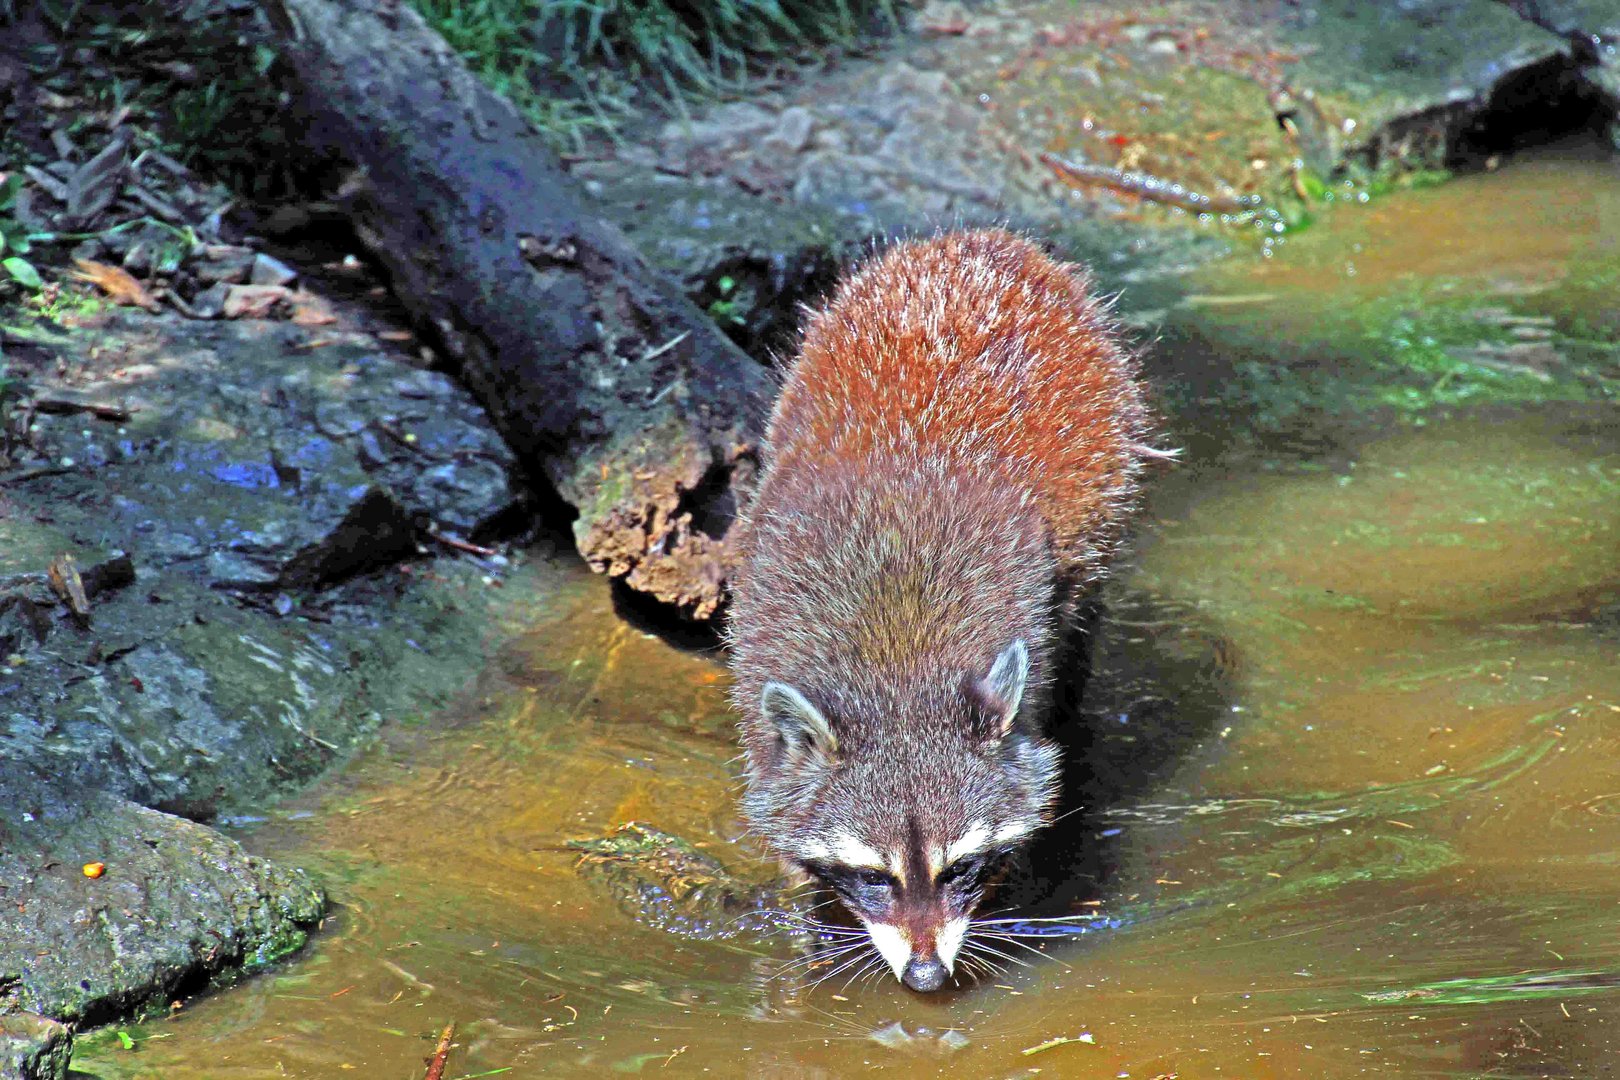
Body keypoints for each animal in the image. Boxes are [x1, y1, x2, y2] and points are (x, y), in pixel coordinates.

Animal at [729, 233, 1159, 990]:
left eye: (960, 868)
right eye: (874, 877)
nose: (926, 976)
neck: (897, 670)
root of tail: (980, 240)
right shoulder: (758, 629)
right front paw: (809, 903)